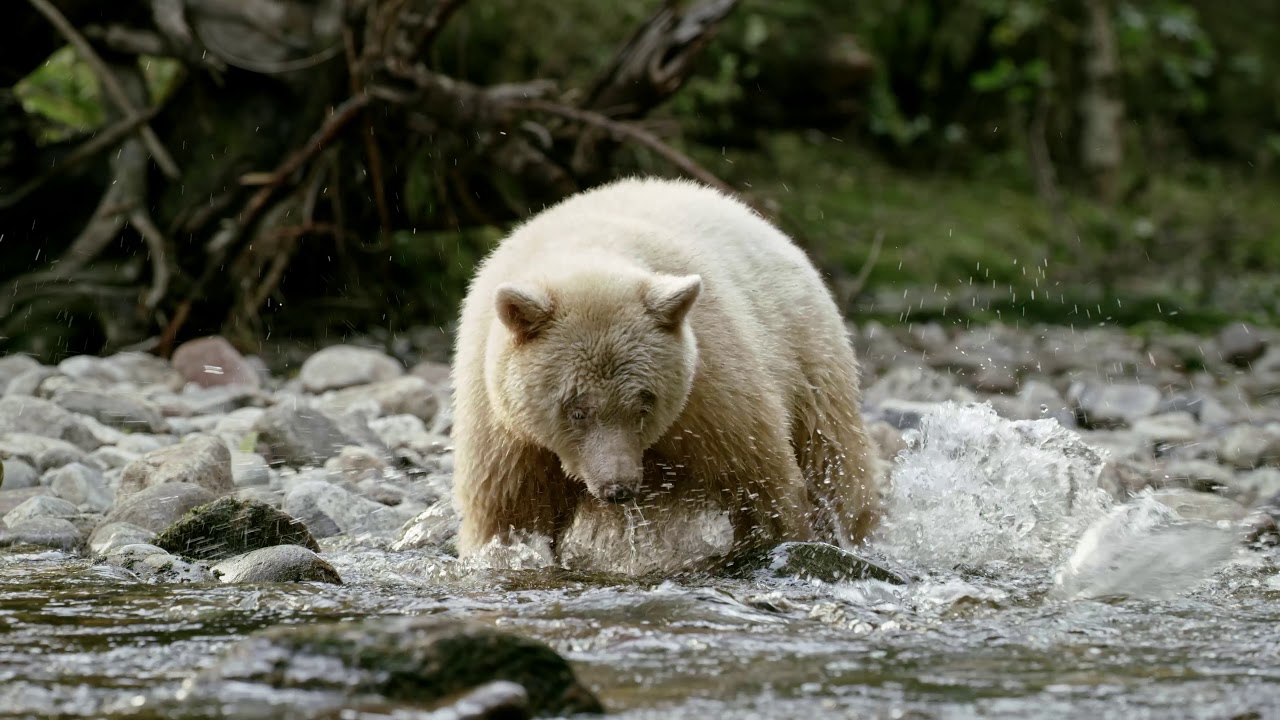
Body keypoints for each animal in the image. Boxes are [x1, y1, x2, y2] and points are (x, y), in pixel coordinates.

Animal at [450, 176, 883, 564]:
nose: (619, 487)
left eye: (645, 402)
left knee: (834, 461)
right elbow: (508, 517)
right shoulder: (504, 430)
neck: (586, 250)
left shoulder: (709, 391)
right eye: (576, 409)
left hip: (807, 357)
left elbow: (759, 480)